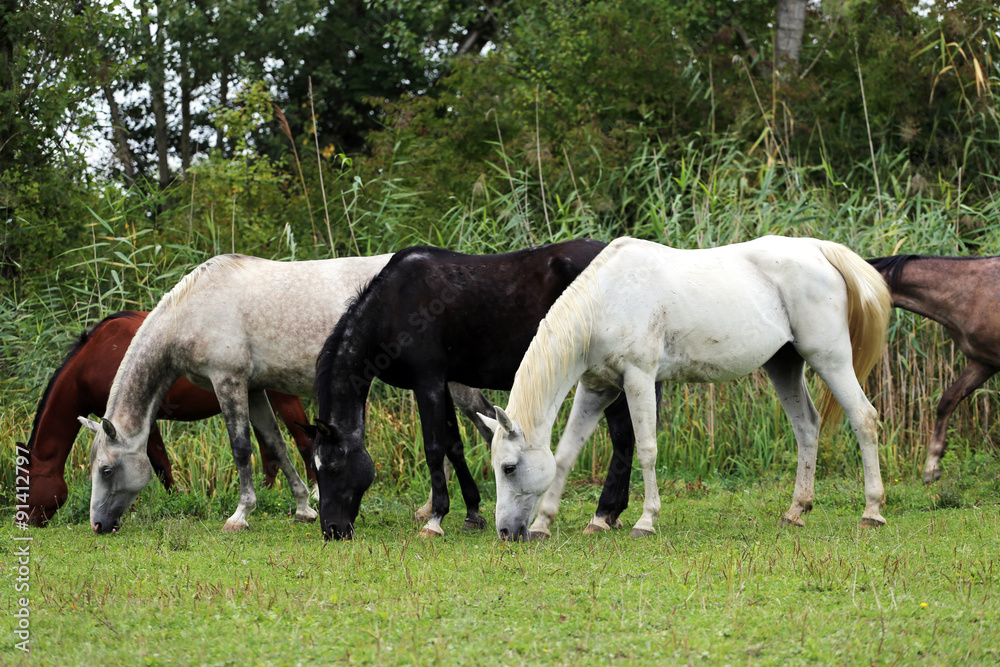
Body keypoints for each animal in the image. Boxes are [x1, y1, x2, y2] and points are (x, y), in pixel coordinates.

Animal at [20, 312, 316, 528]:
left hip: (283, 398)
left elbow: (161, 466)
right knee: (270, 452)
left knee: (303, 442)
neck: (92, 362)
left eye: (26, 483)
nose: (25, 522)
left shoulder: (139, 422)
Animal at [312, 240, 652, 544]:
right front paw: (472, 513)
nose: (332, 530)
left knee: (622, 436)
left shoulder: (427, 383)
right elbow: (453, 445)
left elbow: (434, 449)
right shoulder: (443, 384)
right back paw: (613, 513)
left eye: (334, 467)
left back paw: (603, 514)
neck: (395, 304)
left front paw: (434, 520)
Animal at [482, 237, 892, 540]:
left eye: (509, 467)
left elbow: (646, 449)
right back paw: (796, 511)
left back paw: (872, 511)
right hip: (785, 365)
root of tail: (818, 249)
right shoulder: (596, 389)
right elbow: (566, 454)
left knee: (864, 418)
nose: (506, 532)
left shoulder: (639, 379)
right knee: (807, 426)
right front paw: (543, 524)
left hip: (830, 357)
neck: (606, 301)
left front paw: (646, 521)